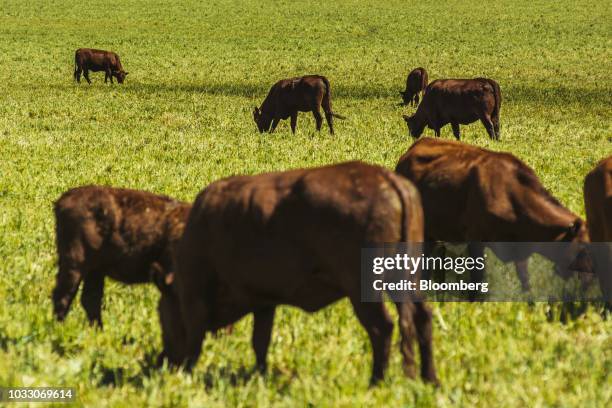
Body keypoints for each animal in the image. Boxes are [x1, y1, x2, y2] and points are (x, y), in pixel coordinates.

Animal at [163, 161, 438, 384]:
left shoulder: (196, 300)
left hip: (364, 290)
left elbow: (197, 340)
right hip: (405, 280)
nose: (166, 361)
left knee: (382, 327)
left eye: (165, 314)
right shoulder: (264, 302)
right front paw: (259, 374)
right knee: (422, 317)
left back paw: (376, 382)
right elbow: (260, 342)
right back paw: (430, 379)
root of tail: (388, 180)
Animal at [394, 138, 592, 296]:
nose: (589, 283)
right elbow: (477, 278)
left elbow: (525, 280)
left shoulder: (519, 247)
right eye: (583, 249)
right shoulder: (475, 239)